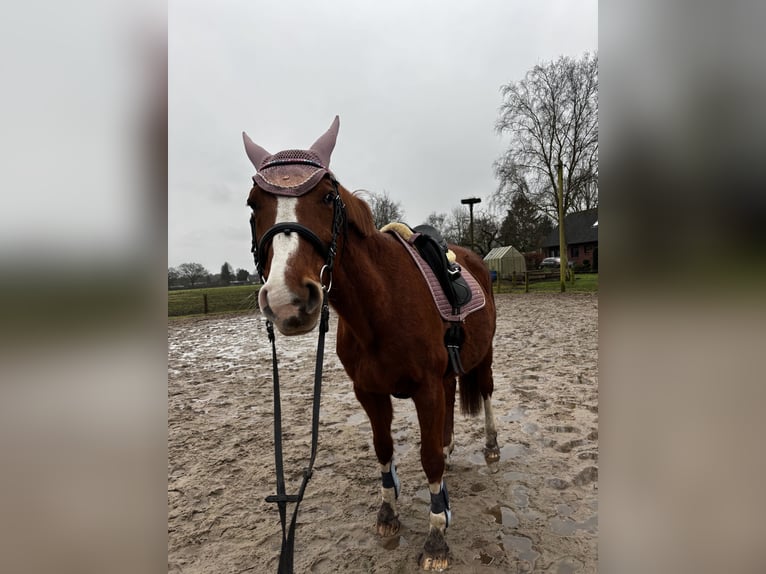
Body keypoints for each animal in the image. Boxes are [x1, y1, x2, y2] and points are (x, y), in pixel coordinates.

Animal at [243, 117, 500, 572]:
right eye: (253, 205)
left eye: (328, 197)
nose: (288, 300)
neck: (381, 306)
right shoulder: (369, 392)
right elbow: (384, 449)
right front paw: (388, 514)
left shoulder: (426, 389)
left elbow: (427, 457)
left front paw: (437, 536)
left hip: (482, 356)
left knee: (484, 392)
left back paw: (489, 446)